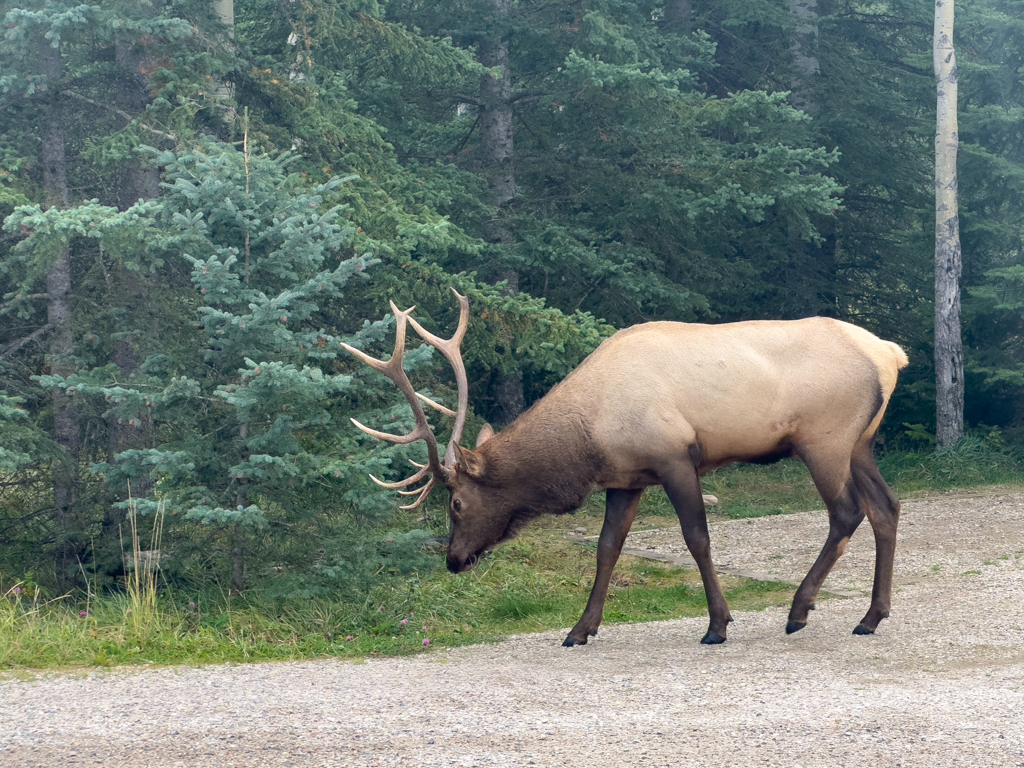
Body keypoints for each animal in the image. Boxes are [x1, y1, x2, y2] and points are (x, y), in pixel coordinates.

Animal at [339, 290, 909, 647]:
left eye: (456, 501)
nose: (454, 560)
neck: (589, 437)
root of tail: (890, 354)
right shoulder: (627, 479)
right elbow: (607, 548)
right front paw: (579, 629)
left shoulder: (674, 456)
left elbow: (697, 538)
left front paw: (718, 624)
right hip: (861, 442)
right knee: (887, 506)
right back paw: (871, 617)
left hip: (824, 438)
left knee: (846, 512)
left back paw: (799, 610)